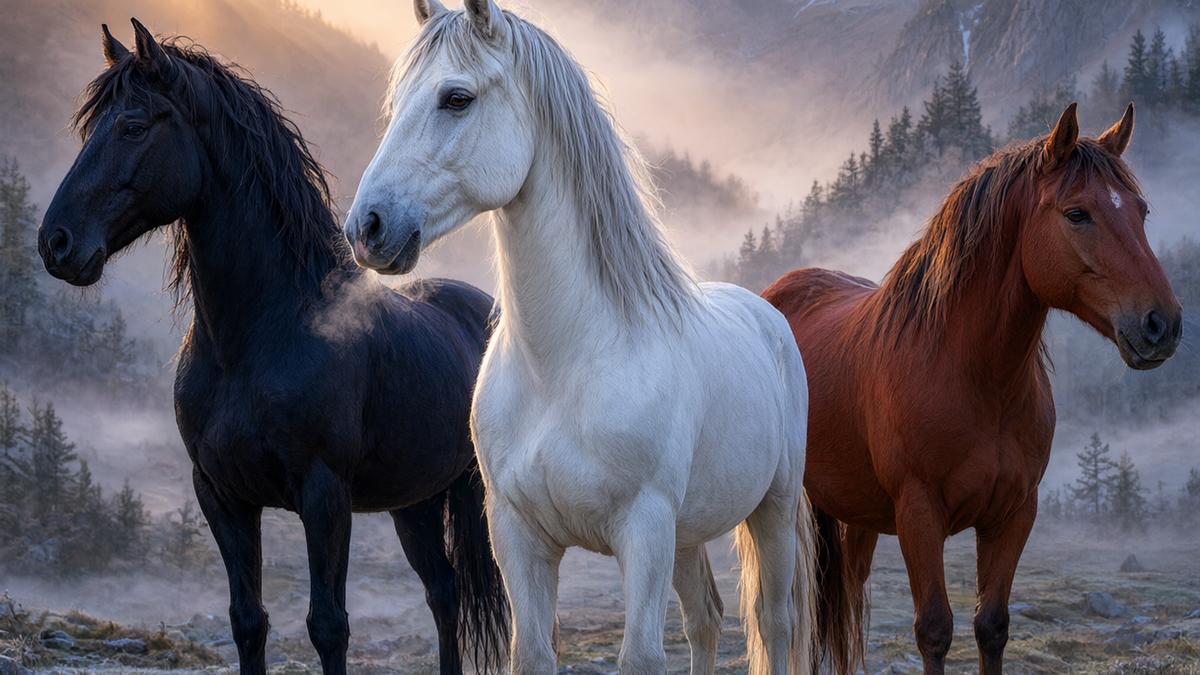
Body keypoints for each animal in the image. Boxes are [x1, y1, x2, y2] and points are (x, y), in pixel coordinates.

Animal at [37, 20, 509, 675]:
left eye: (133, 126)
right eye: (89, 129)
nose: (55, 243)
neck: (257, 340)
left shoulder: (324, 496)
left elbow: (328, 625)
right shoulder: (221, 496)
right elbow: (248, 621)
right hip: (412, 501)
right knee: (443, 593)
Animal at [341, 1, 826, 673]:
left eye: (456, 98)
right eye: (396, 103)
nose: (367, 228)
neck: (562, 366)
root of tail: (768, 316)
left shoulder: (643, 530)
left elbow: (642, 656)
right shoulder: (518, 536)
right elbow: (532, 652)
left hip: (770, 512)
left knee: (774, 623)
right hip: (688, 533)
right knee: (705, 620)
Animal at [763, 103, 1183, 674]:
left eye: (1141, 211)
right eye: (1077, 214)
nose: (1162, 324)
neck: (975, 378)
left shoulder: (1014, 515)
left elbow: (992, 626)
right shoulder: (920, 515)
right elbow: (935, 630)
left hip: (854, 517)